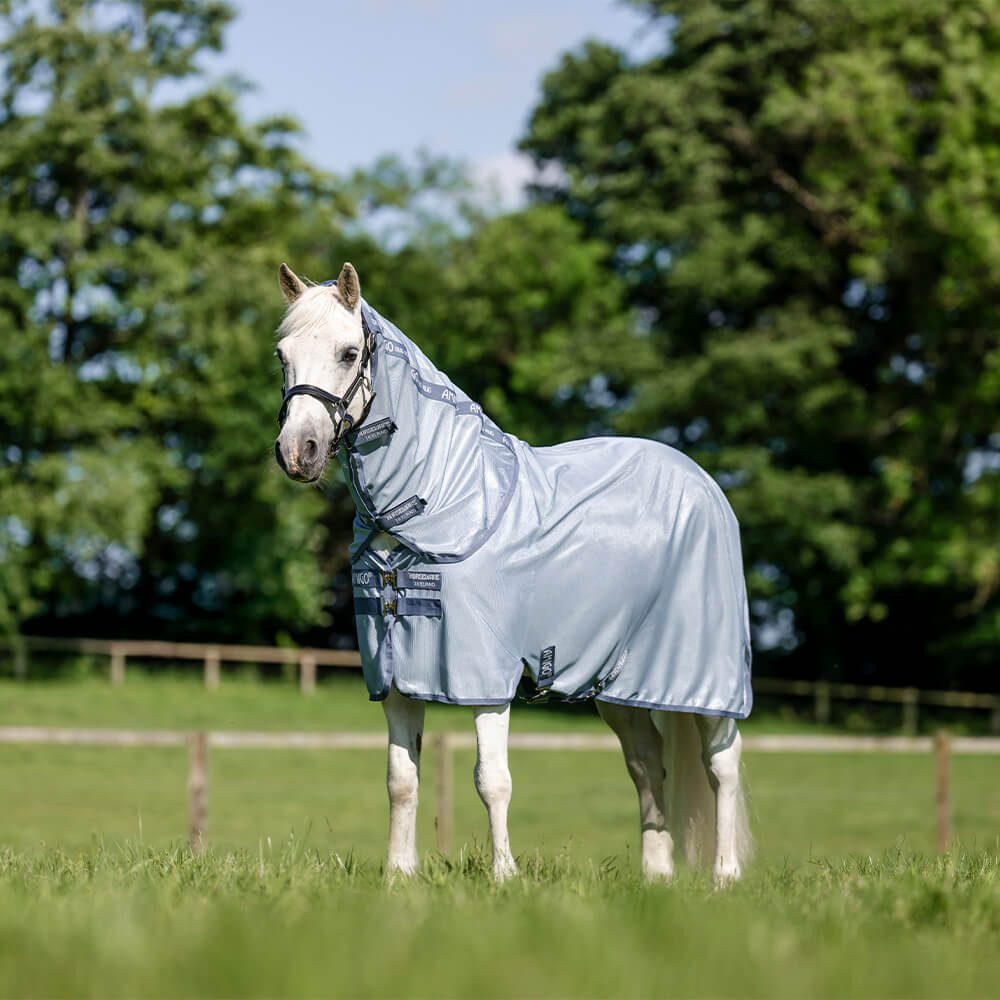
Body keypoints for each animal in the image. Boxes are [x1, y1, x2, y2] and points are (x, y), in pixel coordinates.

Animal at [272, 261, 753, 883]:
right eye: (283, 355)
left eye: (349, 352)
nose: (297, 452)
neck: (446, 499)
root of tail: (704, 484)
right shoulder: (395, 675)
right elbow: (401, 781)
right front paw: (399, 875)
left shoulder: (485, 678)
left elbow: (491, 780)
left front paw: (504, 875)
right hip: (619, 686)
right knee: (647, 764)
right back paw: (656, 877)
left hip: (707, 677)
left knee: (722, 764)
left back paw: (725, 875)